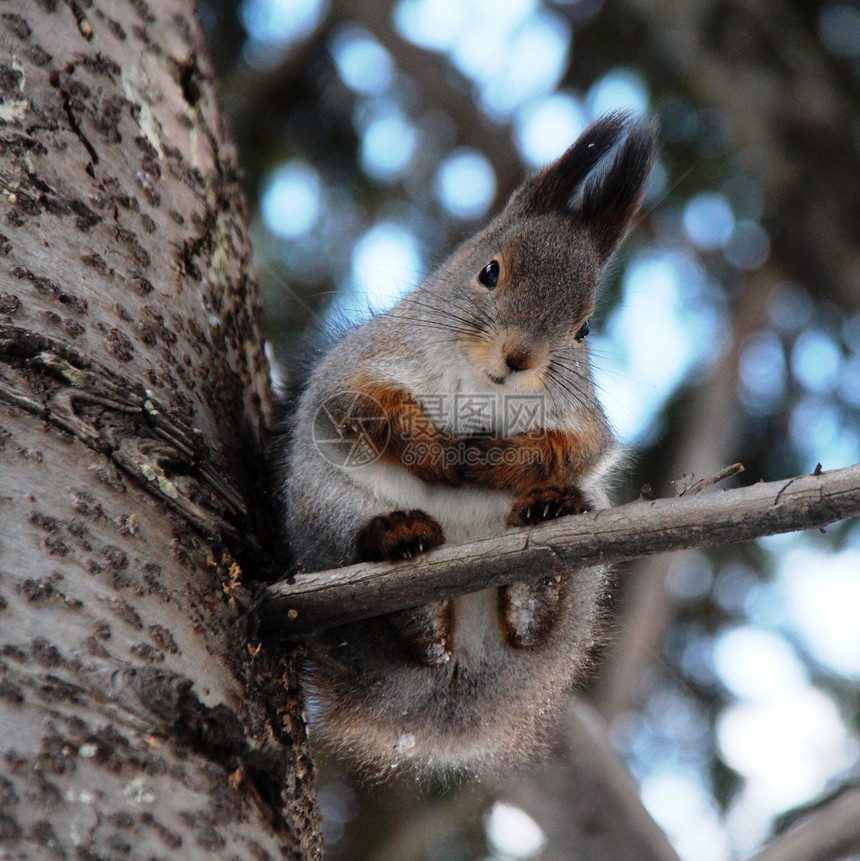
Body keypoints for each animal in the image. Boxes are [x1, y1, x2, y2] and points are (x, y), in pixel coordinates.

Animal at [278, 111, 656, 776]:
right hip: (325, 512)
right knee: (382, 603)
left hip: (583, 577)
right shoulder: (355, 369)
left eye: (584, 328)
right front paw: (433, 450)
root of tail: (456, 680)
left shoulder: (585, 421)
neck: (479, 386)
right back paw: (400, 554)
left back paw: (542, 554)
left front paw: (493, 462)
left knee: (536, 625)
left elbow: (575, 449)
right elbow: (365, 406)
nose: (520, 357)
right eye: (489, 271)